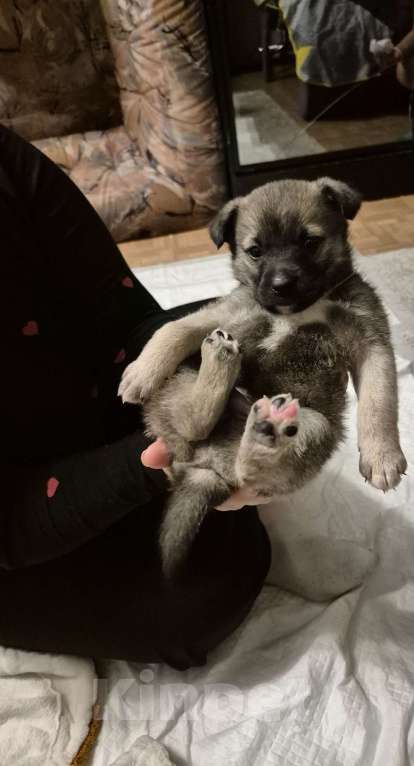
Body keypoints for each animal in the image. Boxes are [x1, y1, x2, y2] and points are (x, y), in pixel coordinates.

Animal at [118, 178, 406, 576]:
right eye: (255, 251)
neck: (299, 309)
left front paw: (382, 456)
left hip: (316, 426)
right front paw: (142, 371)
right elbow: (175, 329)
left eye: (309, 241)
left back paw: (263, 430)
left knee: (247, 466)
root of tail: (205, 468)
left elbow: (380, 402)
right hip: (186, 377)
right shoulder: (224, 314)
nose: (282, 284)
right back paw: (220, 364)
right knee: (194, 422)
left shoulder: (370, 342)